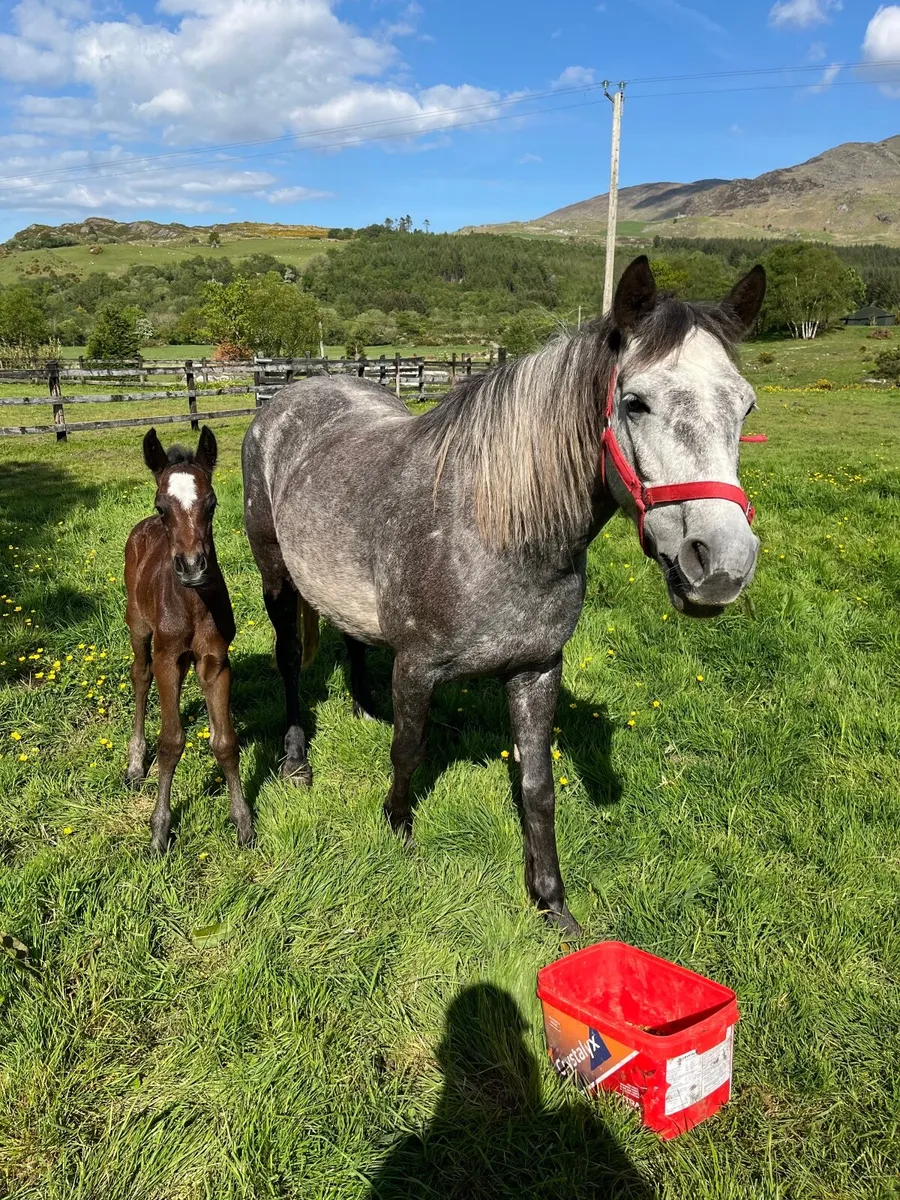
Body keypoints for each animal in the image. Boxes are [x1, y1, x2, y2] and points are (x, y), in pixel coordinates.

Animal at [124, 425, 252, 852]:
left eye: (211, 504)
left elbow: (225, 741)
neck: (194, 604)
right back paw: (134, 763)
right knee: (140, 675)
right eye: (162, 506)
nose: (193, 566)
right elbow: (171, 742)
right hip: (137, 626)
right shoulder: (169, 659)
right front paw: (159, 829)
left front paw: (243, 821)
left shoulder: (215, 660)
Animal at [241, 256, 766, 934]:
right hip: (275, 574)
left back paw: (360, 708)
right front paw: (398, 830)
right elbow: (407, 750)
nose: (722, 564)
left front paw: (552, 903)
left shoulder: (537, 670)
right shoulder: (416, 667)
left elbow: (538, 787)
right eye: (635, 403)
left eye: (746, 408)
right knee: (287, 662)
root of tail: (285, 398)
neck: (497, 532)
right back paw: (296, 761)